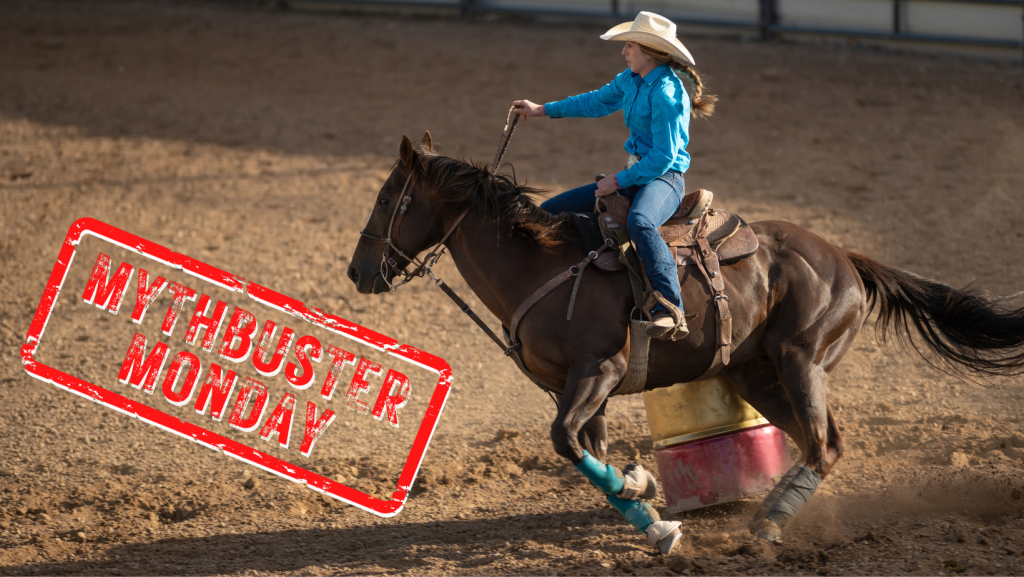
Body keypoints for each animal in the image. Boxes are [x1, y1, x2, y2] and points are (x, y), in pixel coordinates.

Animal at [347, 132, 1024, 554]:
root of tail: (844, 257)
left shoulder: (598, 371)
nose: (356, 272)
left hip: (801, 361)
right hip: (758, 374)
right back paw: (766, 514)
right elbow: (588, 451)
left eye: (385, 197)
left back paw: (768, 525)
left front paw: (647, 503)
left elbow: (565, 441)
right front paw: (646, 506)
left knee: (825, 444)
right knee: (811, 444)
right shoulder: (575, 387)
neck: (538, 264)